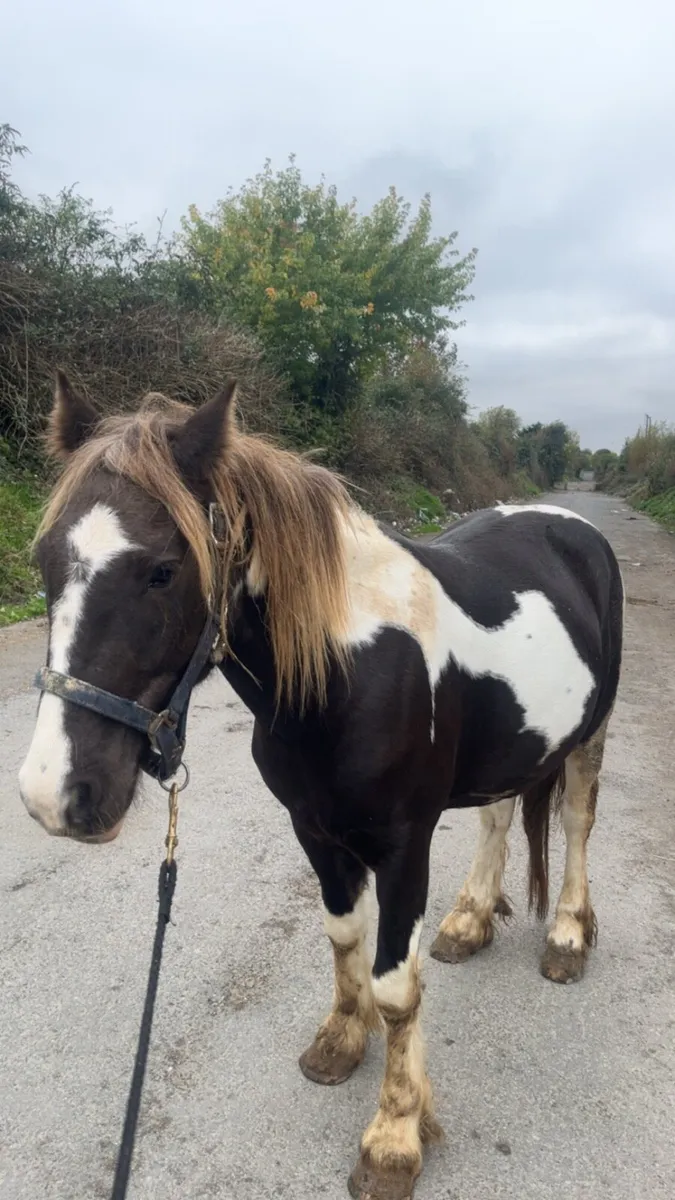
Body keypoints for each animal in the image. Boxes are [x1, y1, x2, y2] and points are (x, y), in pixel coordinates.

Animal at [19, 374, 624, 1200]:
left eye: (162, 570)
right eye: (46, 560)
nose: (54, 794)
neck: (346, 670)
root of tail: (570, 525)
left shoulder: (403, 847)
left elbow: (395, 987)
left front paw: (394, 1138)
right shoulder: (311, 828)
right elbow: (343, 940)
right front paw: (340, 1041)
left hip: (589, 736)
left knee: (576, 823)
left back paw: (565, 934)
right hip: (514, 743)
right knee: (499, 816)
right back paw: (469, 920)